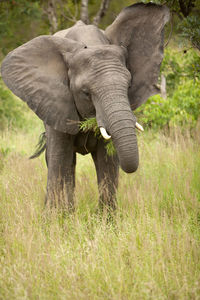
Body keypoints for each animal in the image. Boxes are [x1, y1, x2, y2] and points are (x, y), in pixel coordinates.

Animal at [0, 3, 170, 212]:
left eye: (128, 86)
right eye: (86, 93)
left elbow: (107, 162)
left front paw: (106, 220)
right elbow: (60, 160)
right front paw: (57, 218)